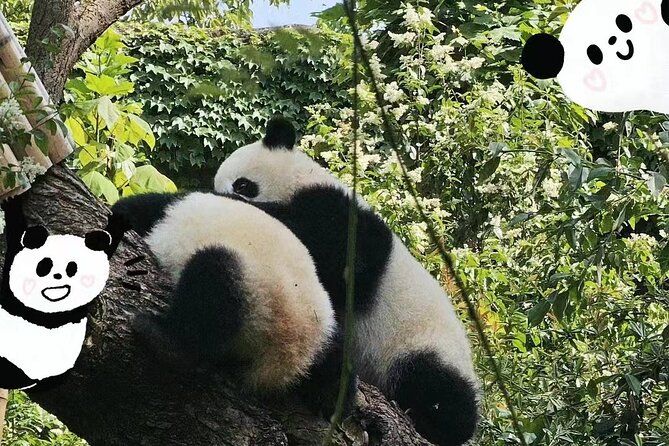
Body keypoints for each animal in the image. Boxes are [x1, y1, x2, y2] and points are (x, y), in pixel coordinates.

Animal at [214, 116, 480, 446]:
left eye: (243, 184)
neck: (301, 182)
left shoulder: (343, 218)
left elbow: (343, 262)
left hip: (423, 343)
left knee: (438, 387)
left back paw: (438, 421)